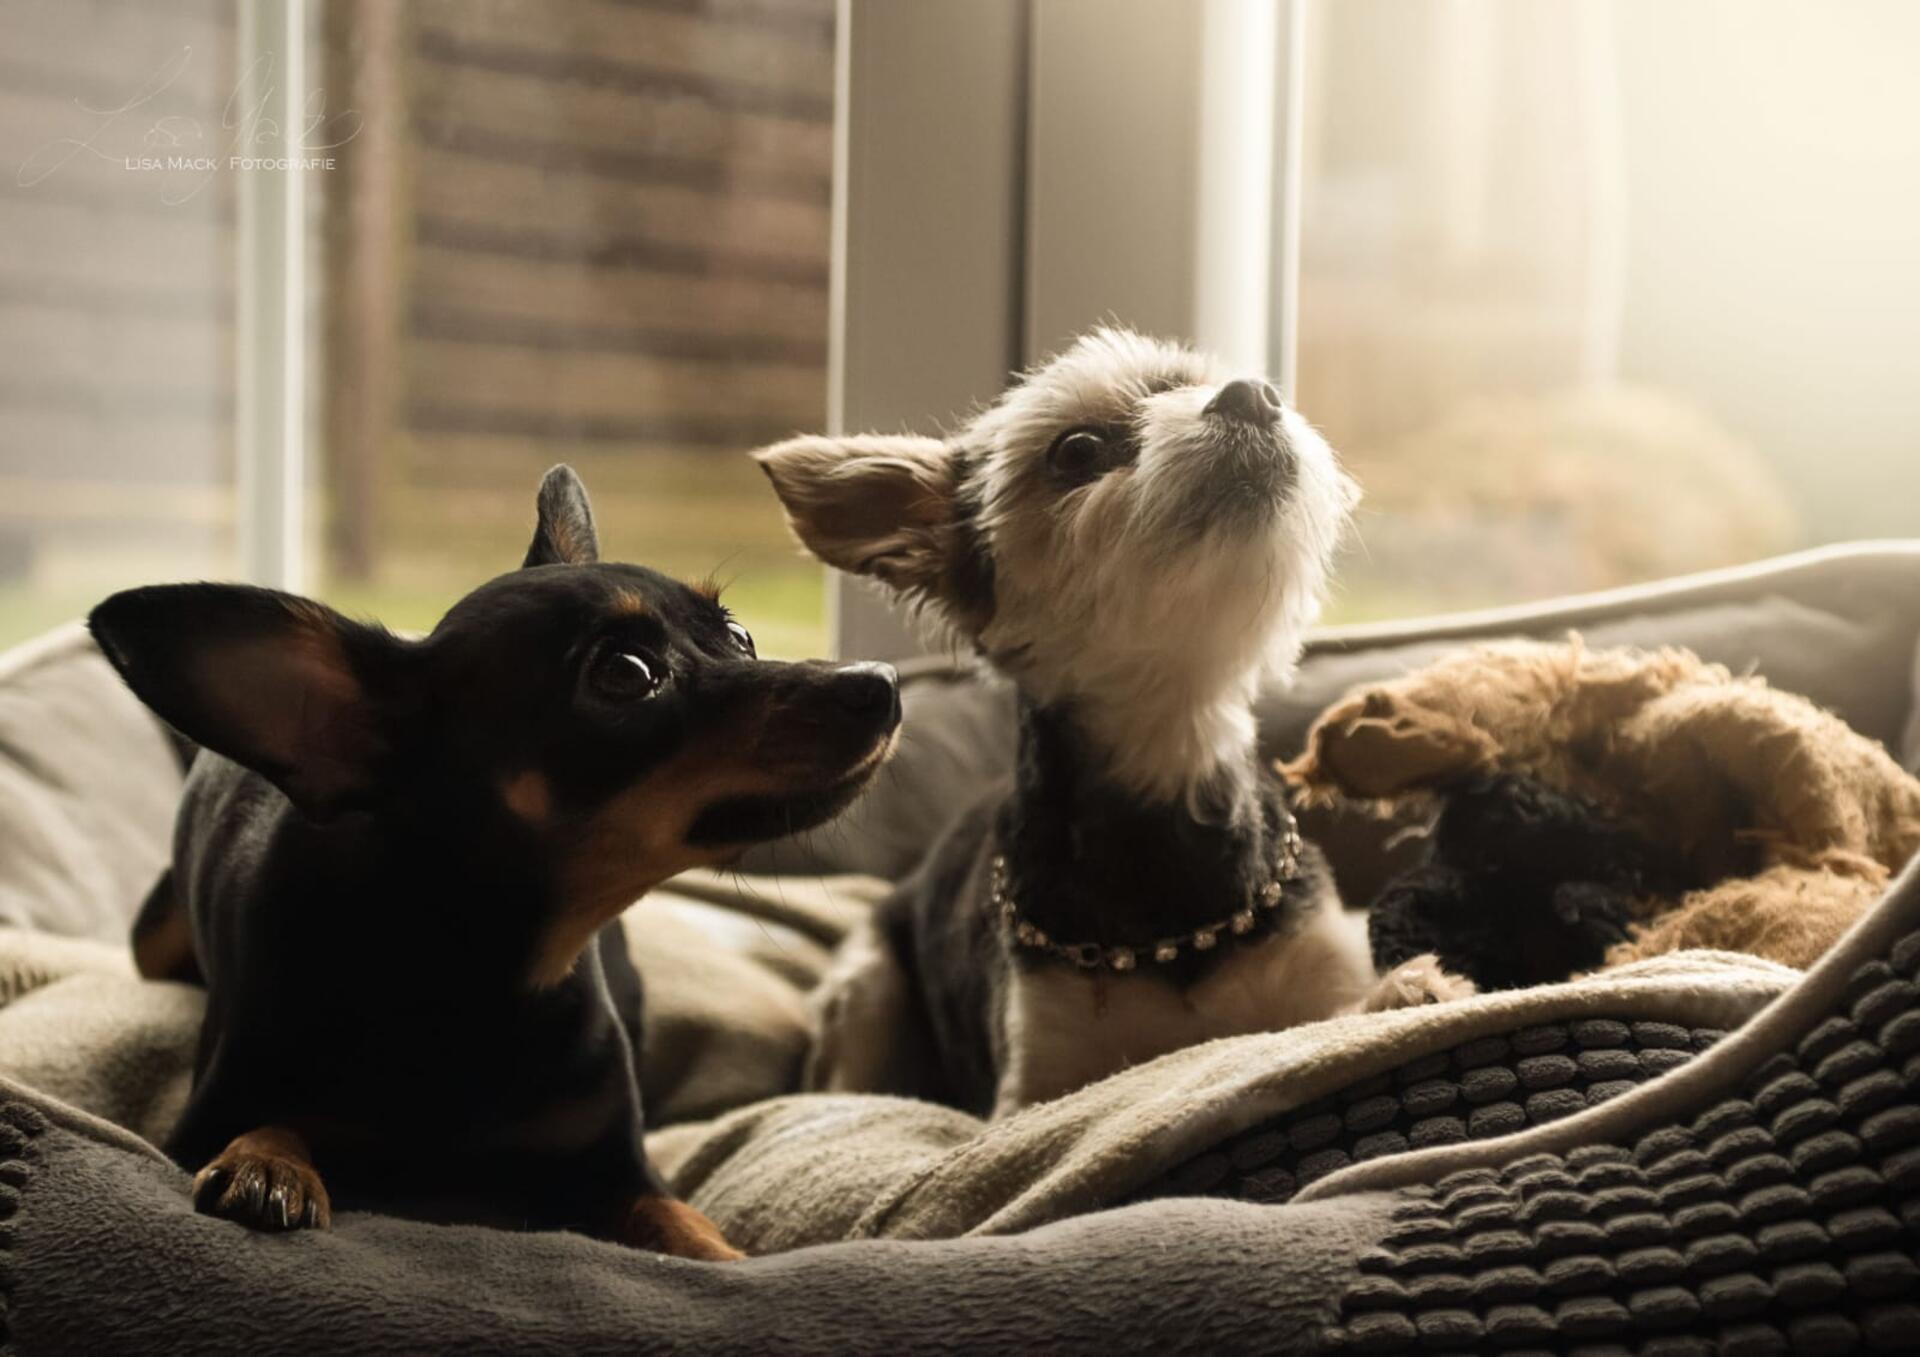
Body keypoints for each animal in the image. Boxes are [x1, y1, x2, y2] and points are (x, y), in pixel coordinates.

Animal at [90, 470, 898, 1266]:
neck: (478, 965)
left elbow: (697, 1238)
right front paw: (266, 1165)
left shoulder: (621, 1172)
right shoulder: (199, 1123)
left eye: (738, 636)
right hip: (153, 937)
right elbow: (270, 1120)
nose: (883, 681)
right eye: (626, 674)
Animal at [756, 326, 1459, 1113]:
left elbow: (1337, 1011)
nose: (1252, 394)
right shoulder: (1035, 1084)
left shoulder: (1318, 970)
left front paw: (1408, 990)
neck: (1173, 749)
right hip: (868, 982)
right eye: (1077, 450)